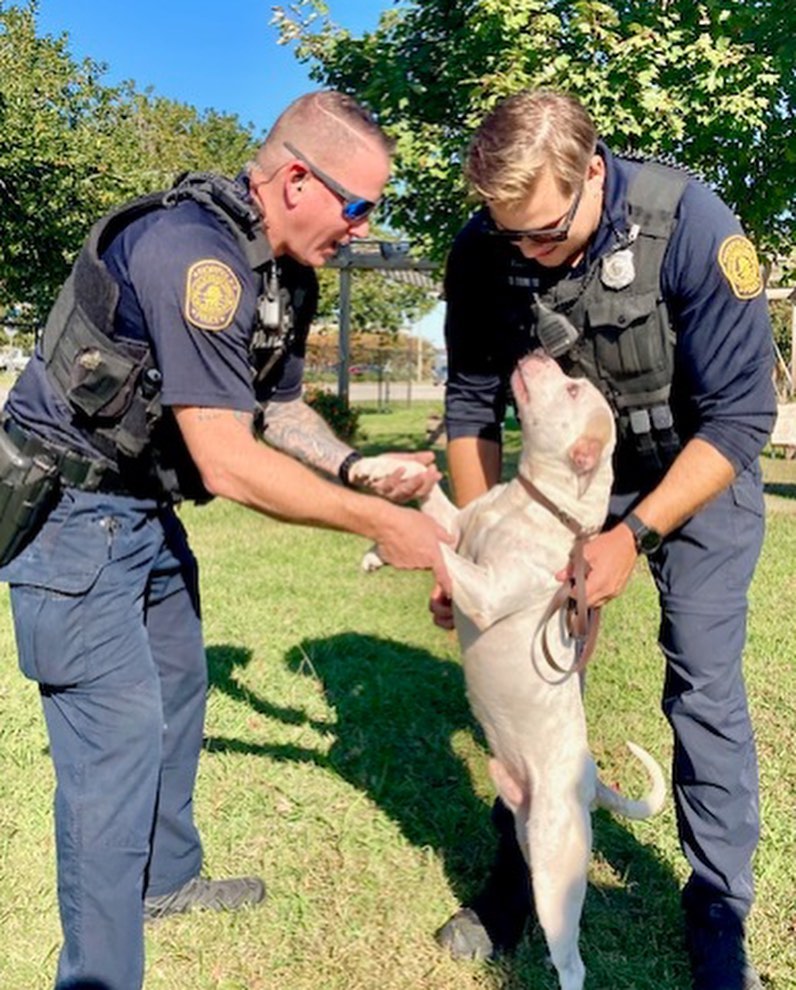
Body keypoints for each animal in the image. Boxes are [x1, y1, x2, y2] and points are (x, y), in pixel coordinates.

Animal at [358, 352, 664, 988]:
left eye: (572, 390)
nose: (538, 353)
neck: (530, 503)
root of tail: (590, 778)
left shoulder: (487, 592)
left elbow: (437, 548)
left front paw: (396, 540)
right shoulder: (461, 522)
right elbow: (434, 505)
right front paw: (386, 474)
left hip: (554, 862)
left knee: (572, 960)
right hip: (527, 835)